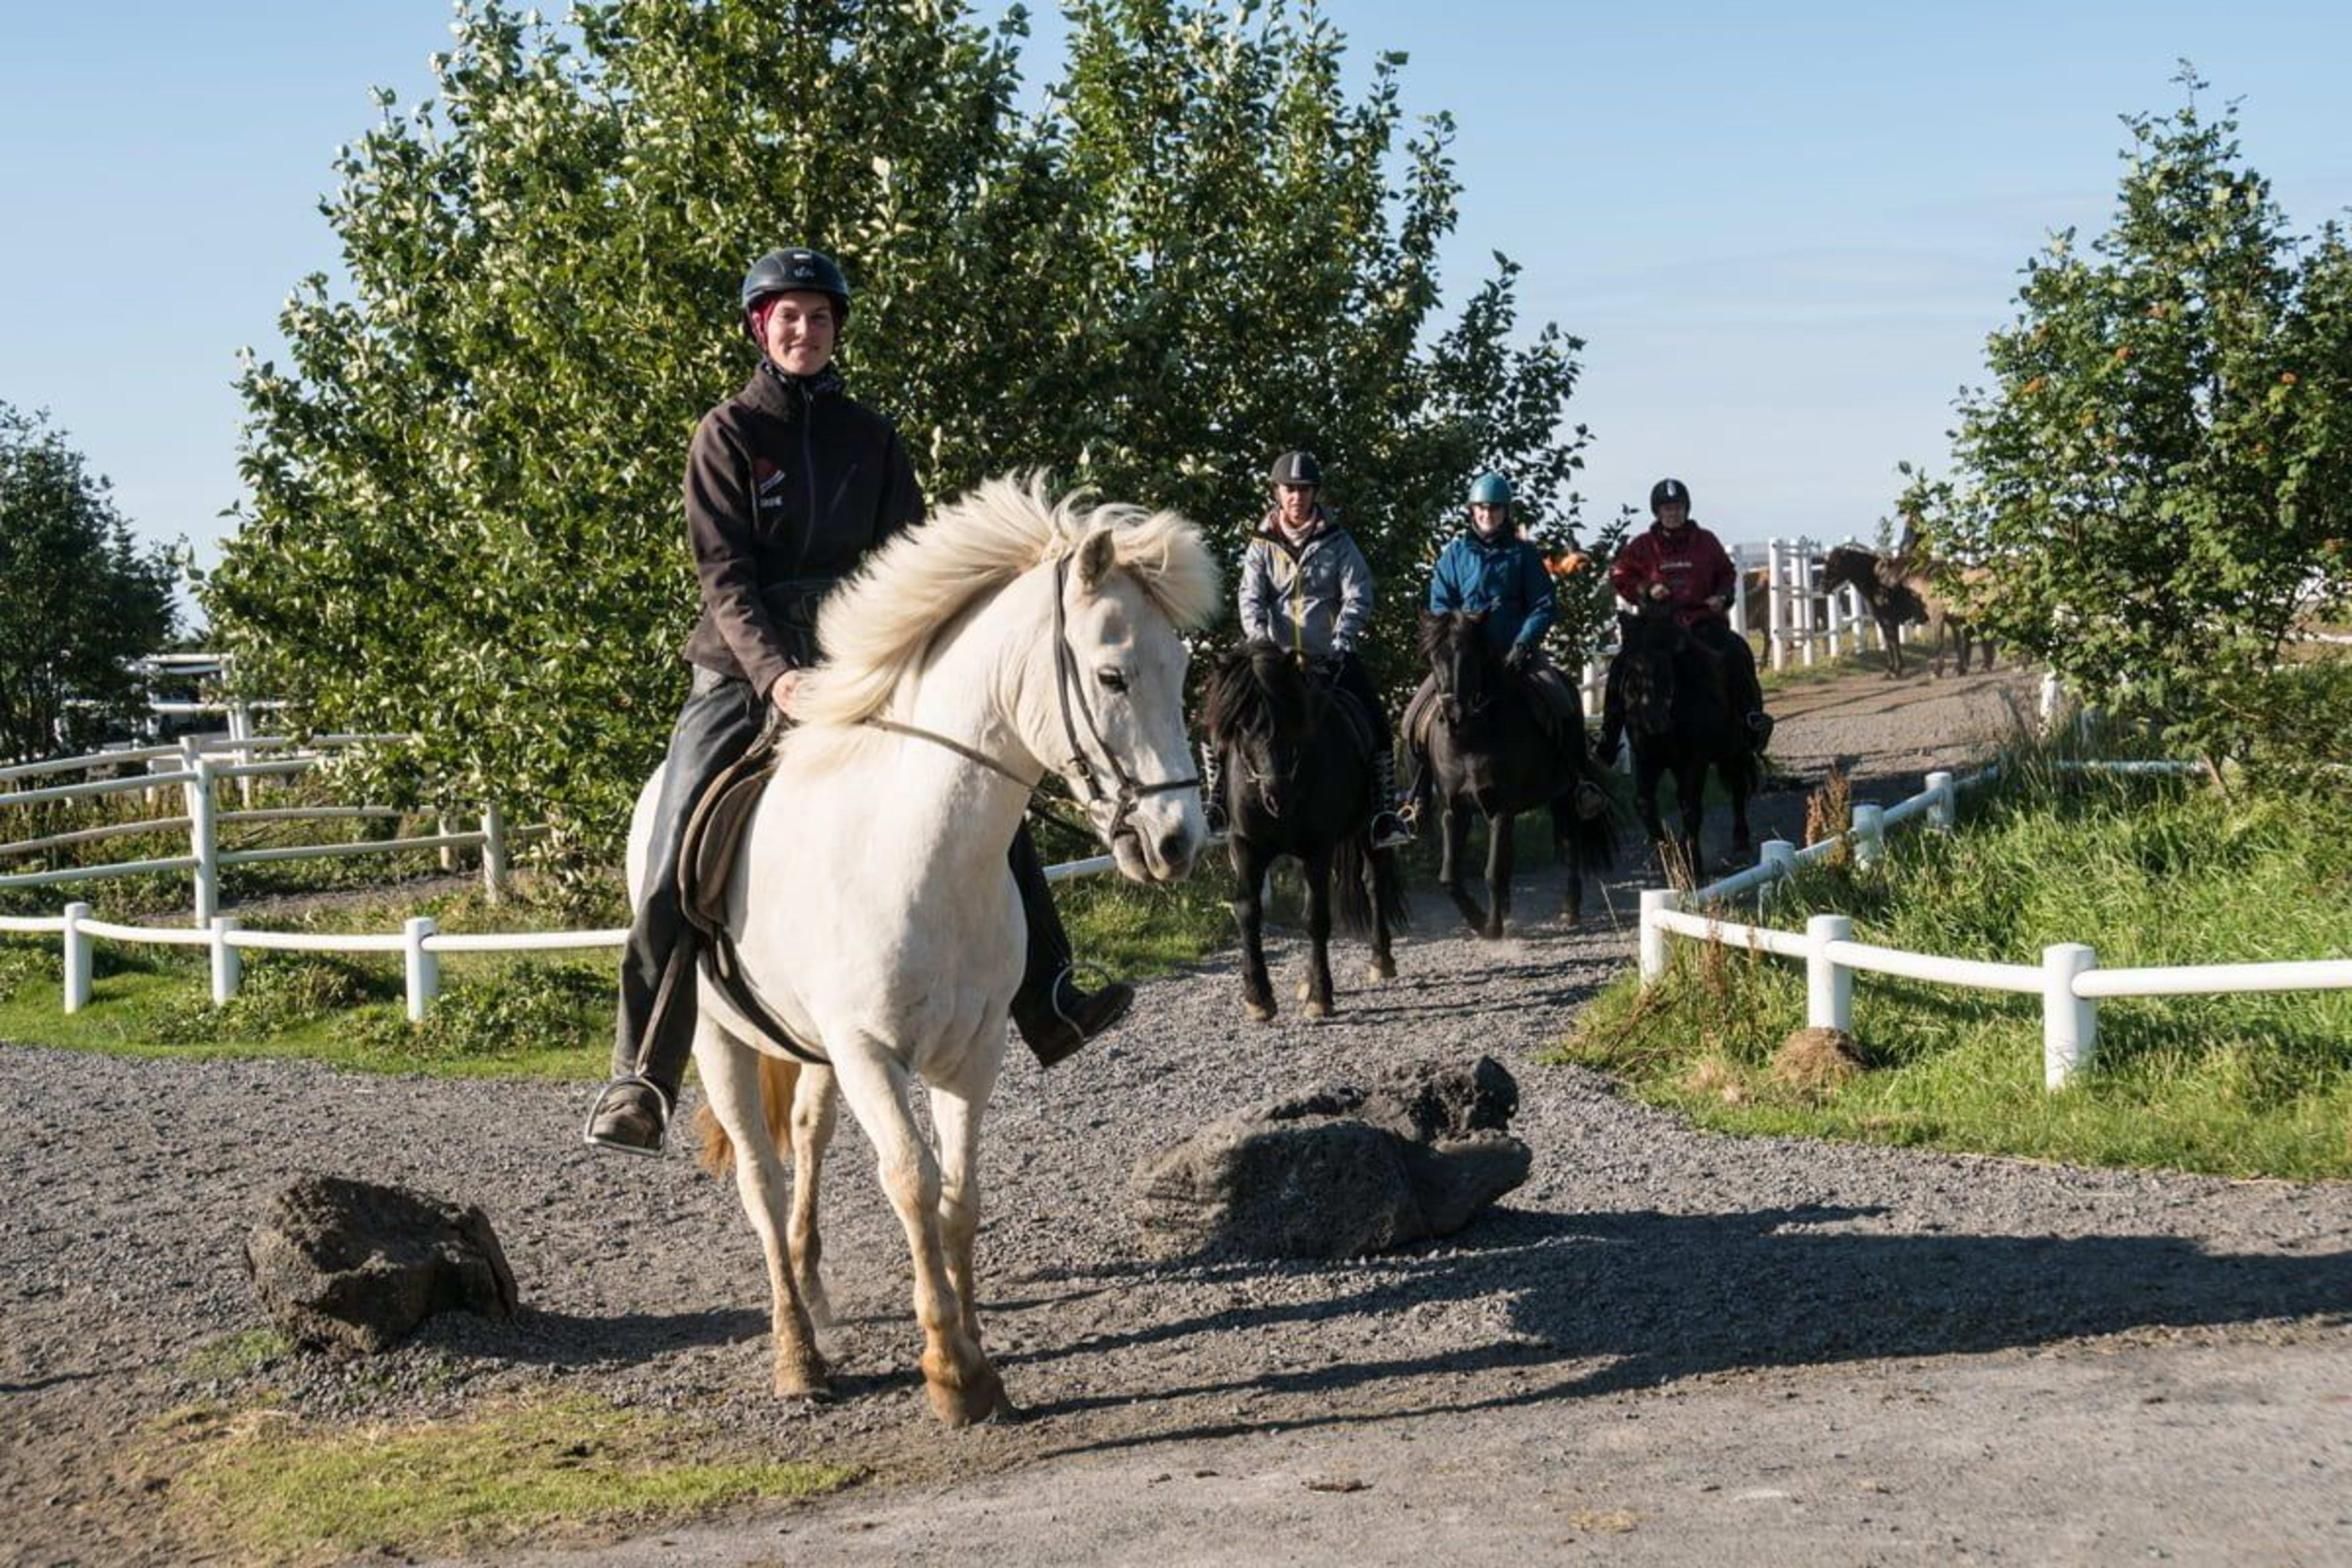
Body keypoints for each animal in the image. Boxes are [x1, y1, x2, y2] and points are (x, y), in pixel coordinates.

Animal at [635, 472, 1223, 1429]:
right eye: (1112, 675)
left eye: (1180, 673)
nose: (1177, 843)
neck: (918, 849)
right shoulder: (871, 1051)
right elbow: (909, 1182)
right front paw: (949, 1371)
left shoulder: (971, 1050)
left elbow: (959, 1197)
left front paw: (982, 1361)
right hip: (720, 1040)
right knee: (762, 1179)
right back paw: (798, 1356)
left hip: (813, 1051)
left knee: (809, 1139)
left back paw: (814, 1289)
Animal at [1204, 644, 1401, 1025]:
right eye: (1241, 727)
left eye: (1291, 720)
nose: (1276, 796)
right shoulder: (1246, 847)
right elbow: (1248, 911)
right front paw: (1258, 997)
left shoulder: (1317, 849)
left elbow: (1317, 919)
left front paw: (1321, 997)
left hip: (1367, 832)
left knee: (1374, 884)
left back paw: (1380, 961)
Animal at [1411, 606, 1618, 940]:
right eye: (1433, 657)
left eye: (1471, 656)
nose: (1453, 714)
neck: (1471, 739)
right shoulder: (1455, 811)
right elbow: (1450, 877)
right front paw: (1478, 920)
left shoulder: (1502, 810)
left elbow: (1493, 871)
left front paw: (1492, 927)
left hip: (1565, 796)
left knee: (1571, 845)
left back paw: (1569, 910)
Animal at [1627, 601, 1759, 888]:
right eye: (1635, 665)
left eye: (1669, 666)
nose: (1654, 719)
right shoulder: (1647, 759)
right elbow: (1644, 803)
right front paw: (1665, 857)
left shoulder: (1695, 761)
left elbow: (1691, 806)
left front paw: (1692, 863)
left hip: (1735, 753)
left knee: (1738, 790)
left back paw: (1741, 839)